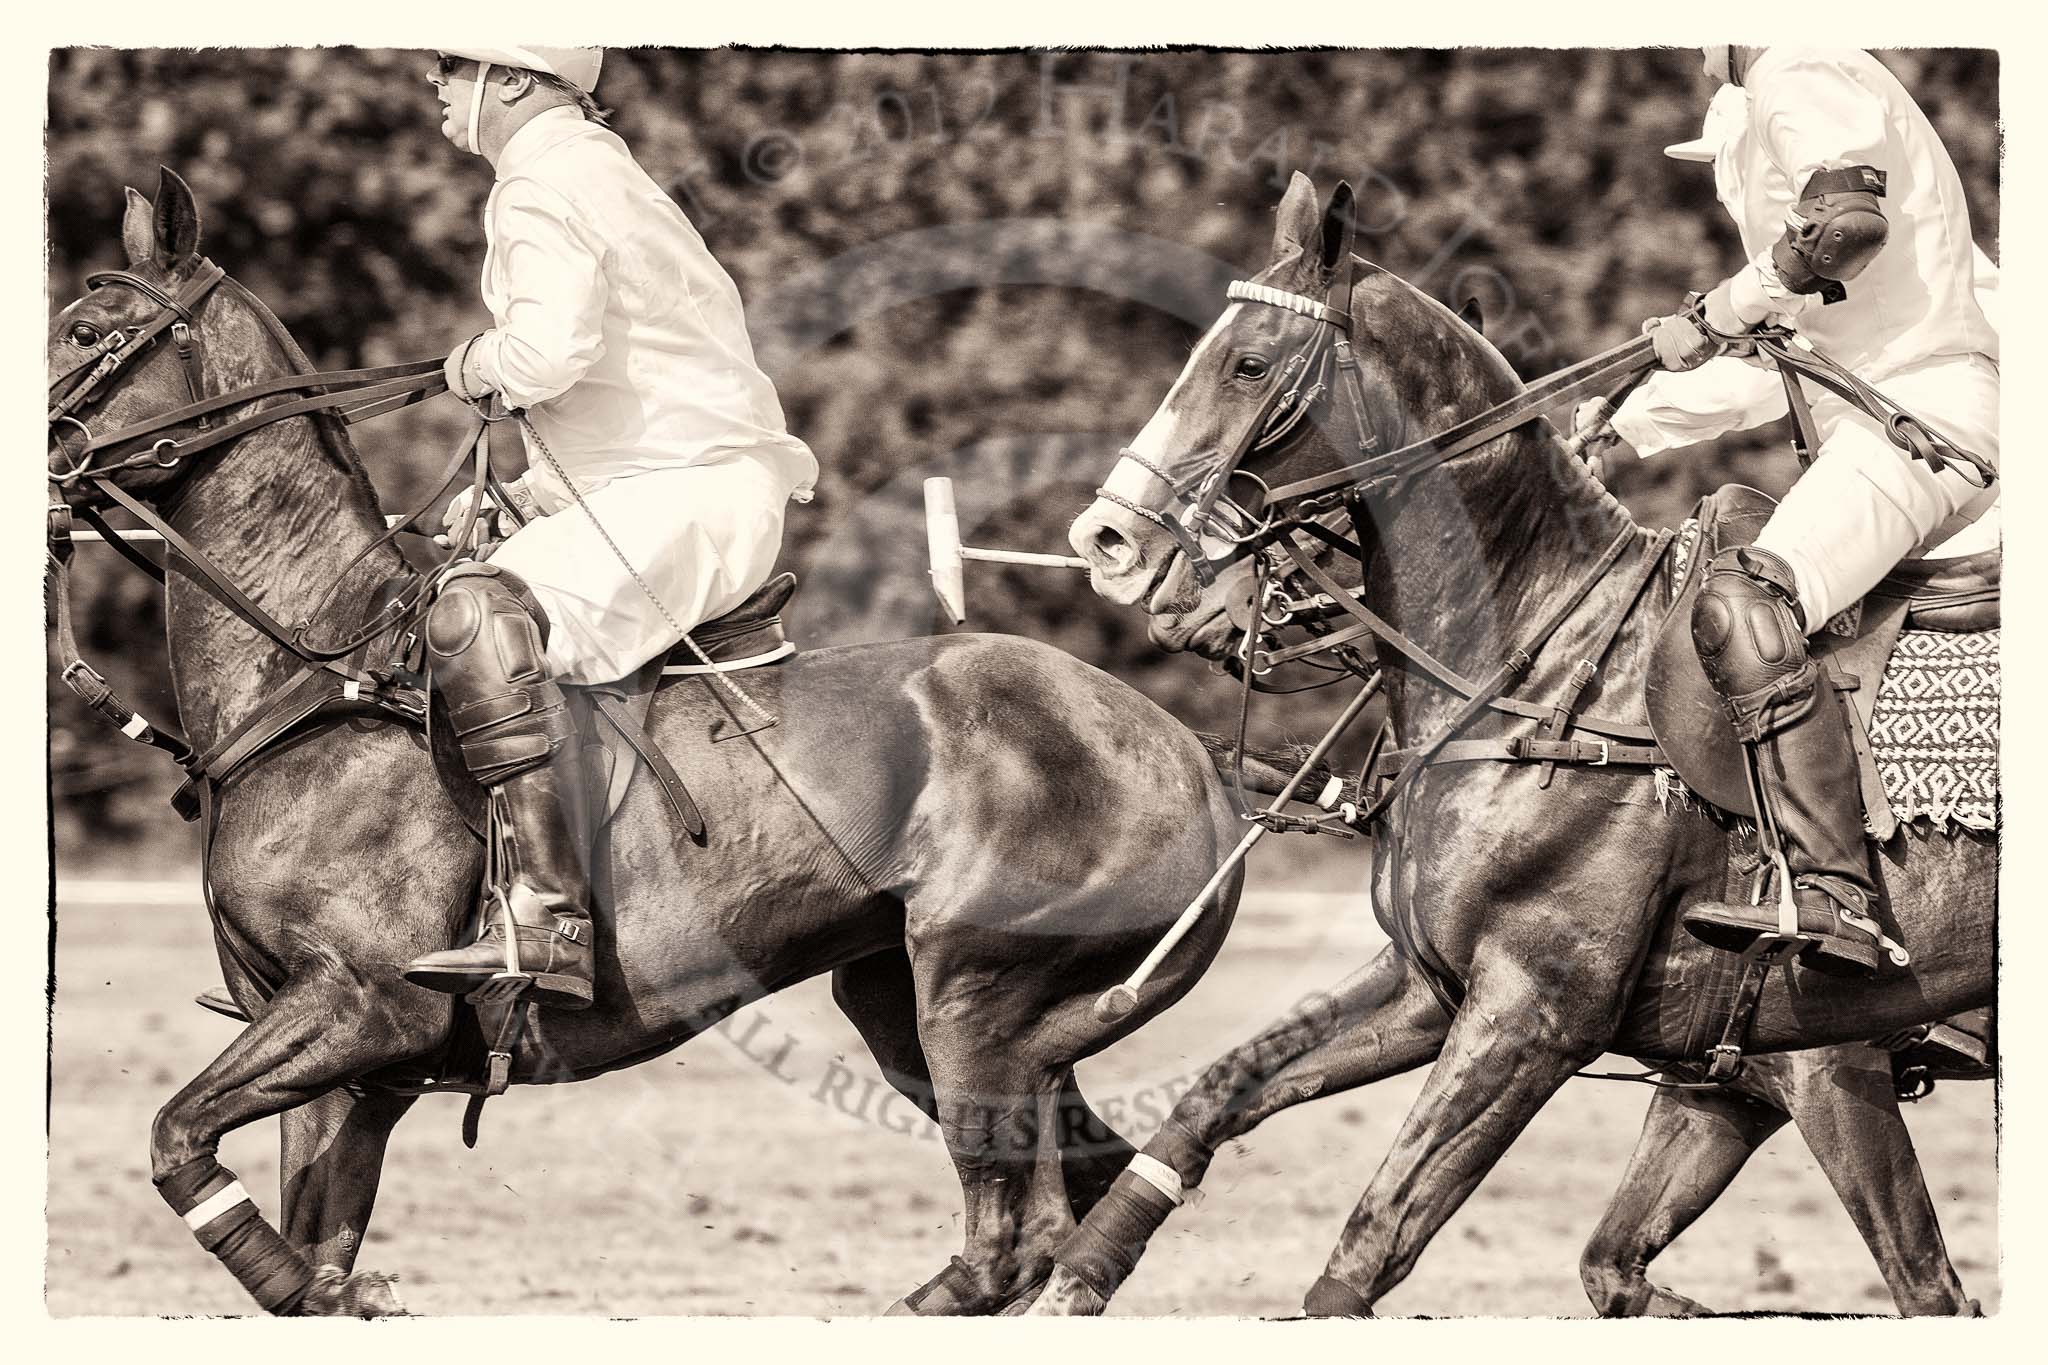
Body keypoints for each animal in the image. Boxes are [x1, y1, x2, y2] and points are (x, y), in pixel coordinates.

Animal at [48, 165, 1245, 1317]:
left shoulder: (367, 1008)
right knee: (1071, 1195)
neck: (315, 675)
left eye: (87, 329)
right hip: (899, 991)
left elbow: (179, 1142)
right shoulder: (344, 1067)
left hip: (974, 994)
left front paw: (329, 1291)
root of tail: (1194, 756)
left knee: (1008, 1237)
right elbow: (302, 1226)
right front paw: (337, 1291)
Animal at [1032, 170, 1990, 1309]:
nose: (1109, 542)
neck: (1534, 669)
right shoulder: (1446, 990)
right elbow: (1218, 1091)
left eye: (1248, 363)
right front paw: (1070, 1275)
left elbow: (1369, 1245)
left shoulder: (1543, 1018)